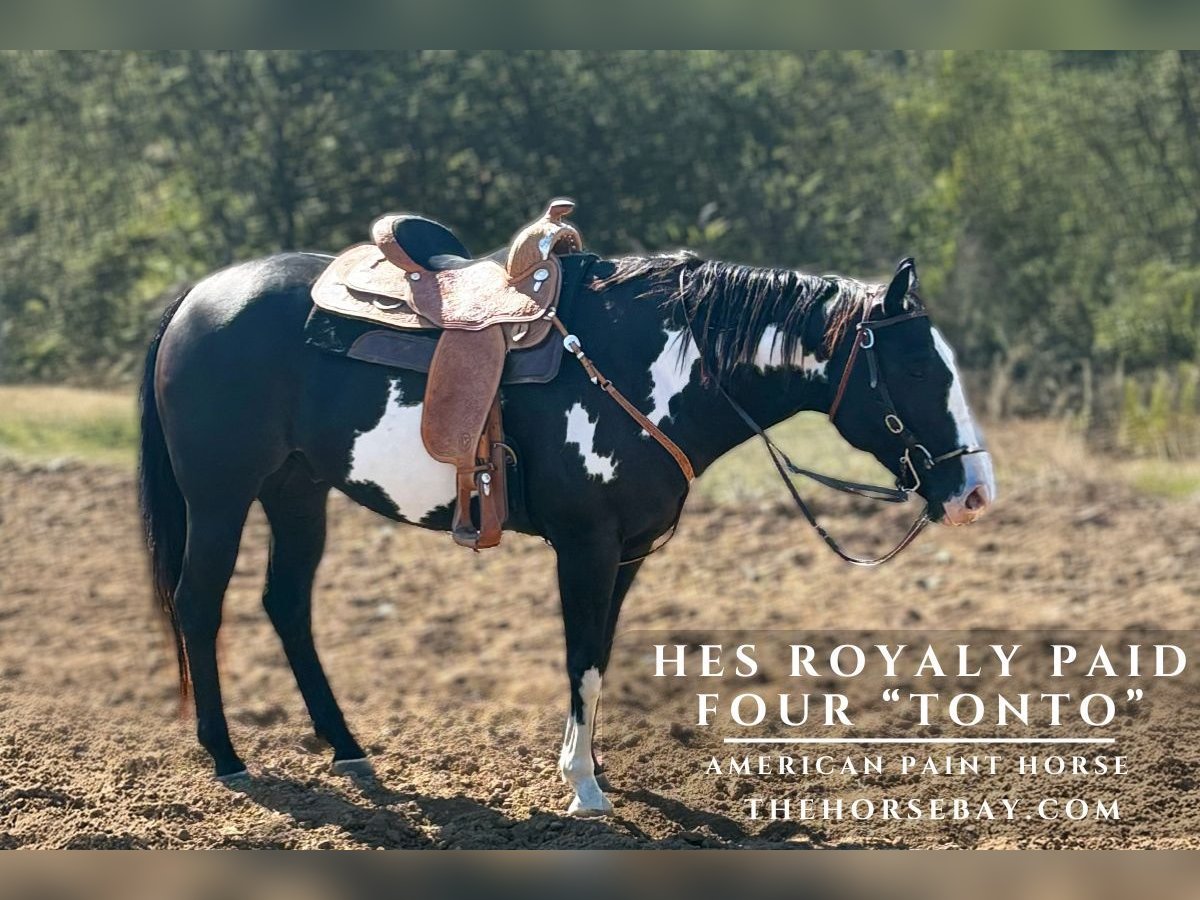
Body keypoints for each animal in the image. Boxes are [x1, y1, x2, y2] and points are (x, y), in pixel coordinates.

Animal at [139, 248, 995, 816]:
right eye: (918, 368)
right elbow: (581, 658)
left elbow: (601, 659)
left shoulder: (626, 555)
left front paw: (591, 766)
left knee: (286, 605)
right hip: (220, 496)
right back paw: (227, 757)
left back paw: (346, 746)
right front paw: (584, 786)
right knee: (199, 604)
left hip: (297, 490)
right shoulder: (585, 548)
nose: (975, 491)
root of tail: (198, 297)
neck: (651, 371)